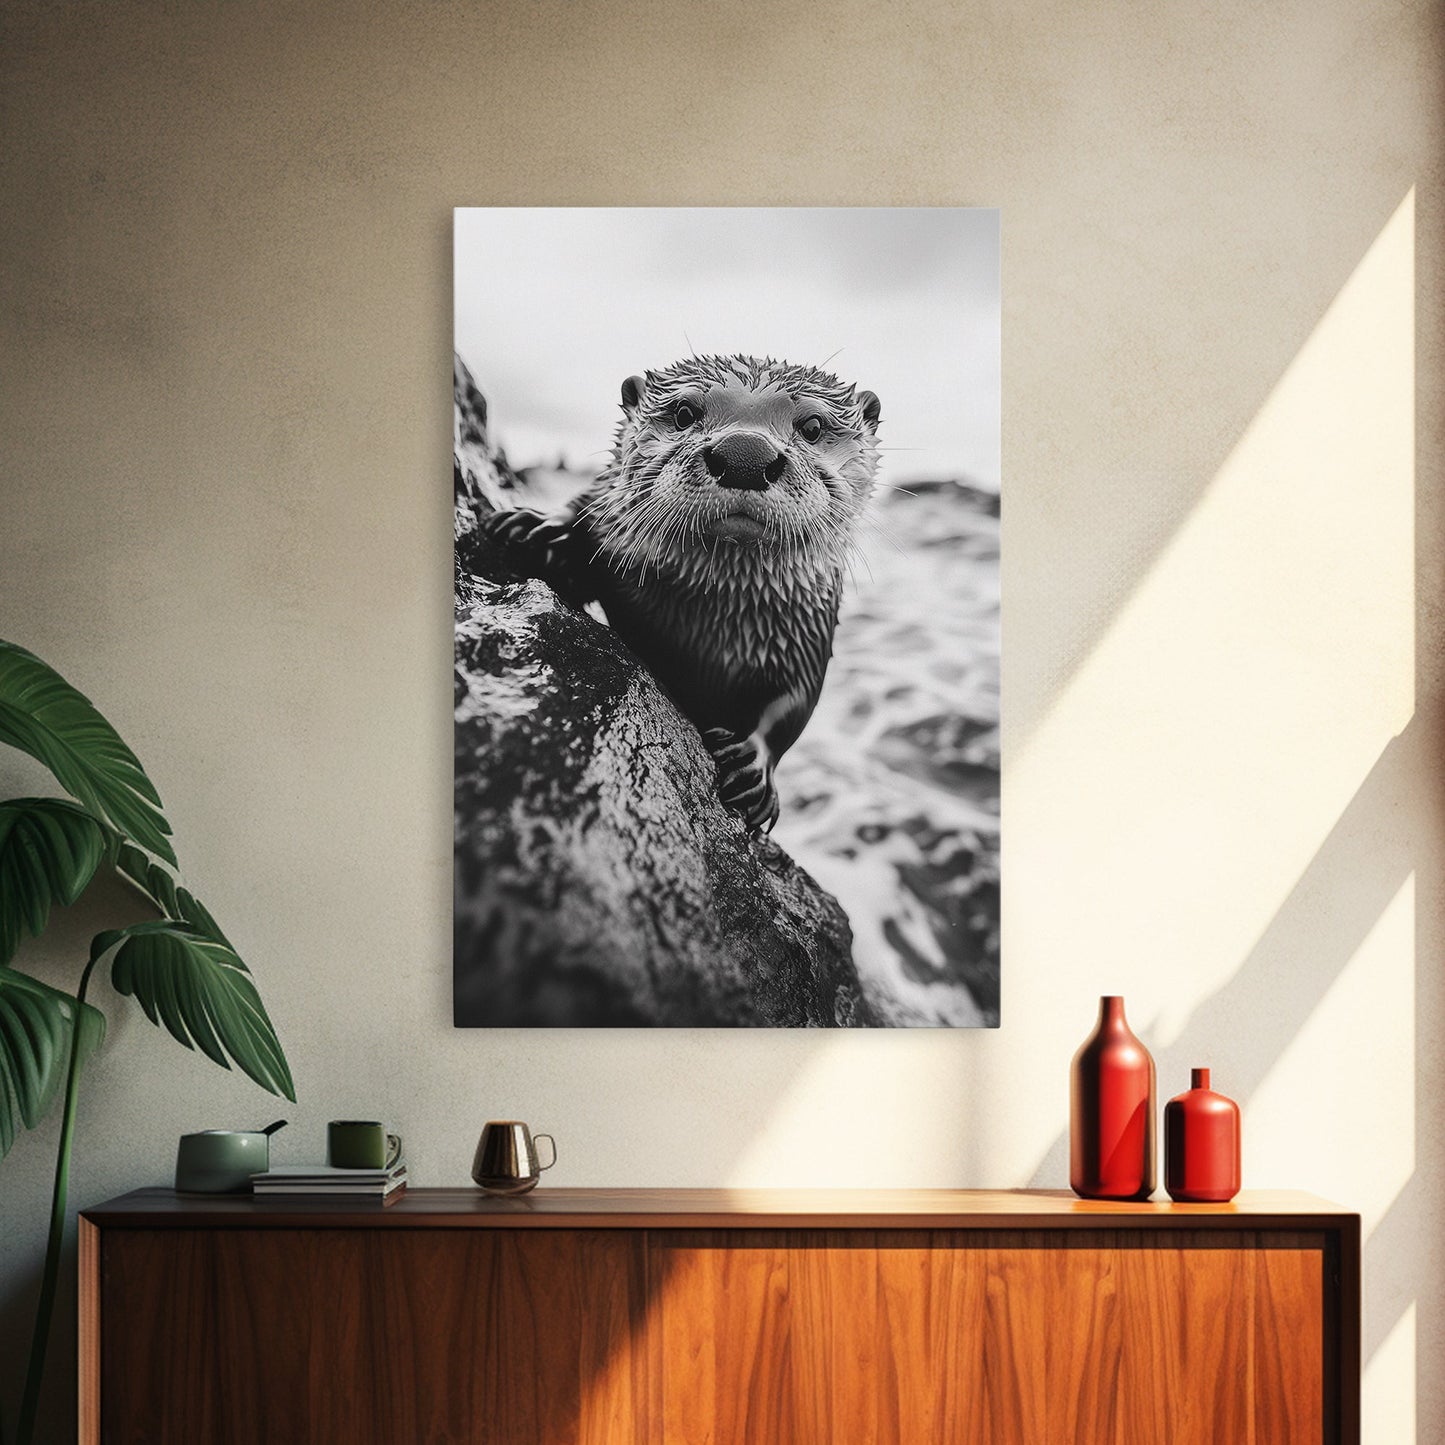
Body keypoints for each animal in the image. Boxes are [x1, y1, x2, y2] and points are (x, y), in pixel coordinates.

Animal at [482, 354, 882, 832]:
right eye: (685, 412)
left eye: (814, 426)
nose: (745, 454)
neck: (705, 622)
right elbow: (584, 507)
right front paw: (539, 528)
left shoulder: (808, 630)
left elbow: (792, 706)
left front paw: (752, 766)